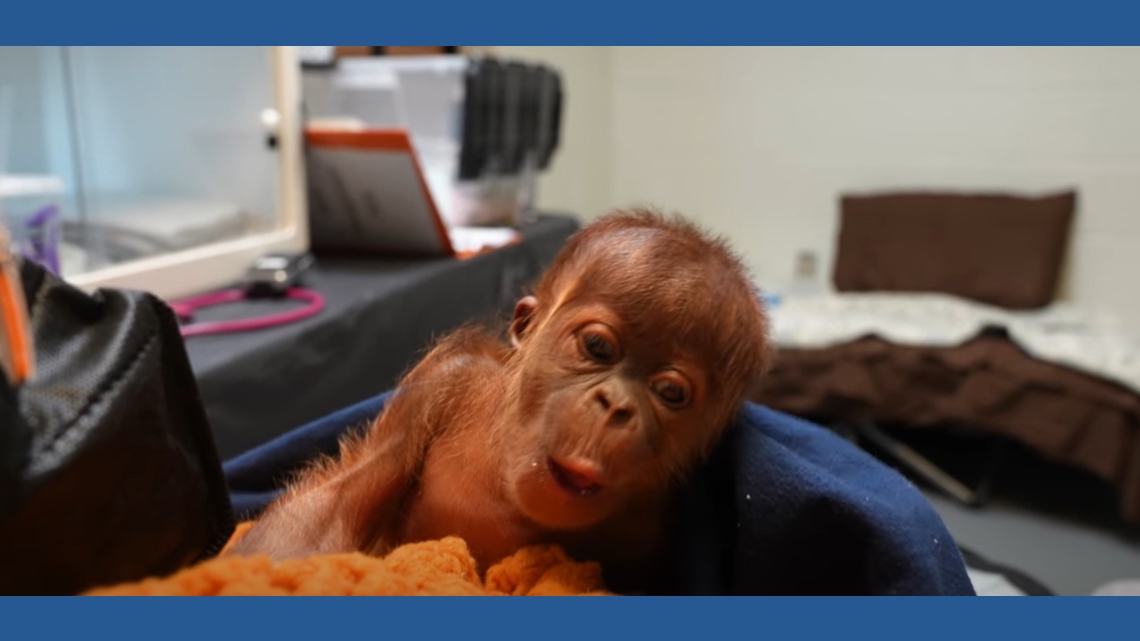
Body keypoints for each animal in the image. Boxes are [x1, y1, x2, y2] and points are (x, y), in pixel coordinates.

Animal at [228, 208, 771, 594]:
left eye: (671, 393)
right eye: (597, 347)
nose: (616, 406)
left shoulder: (653, 529)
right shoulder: (444, 381)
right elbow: (328, 513)